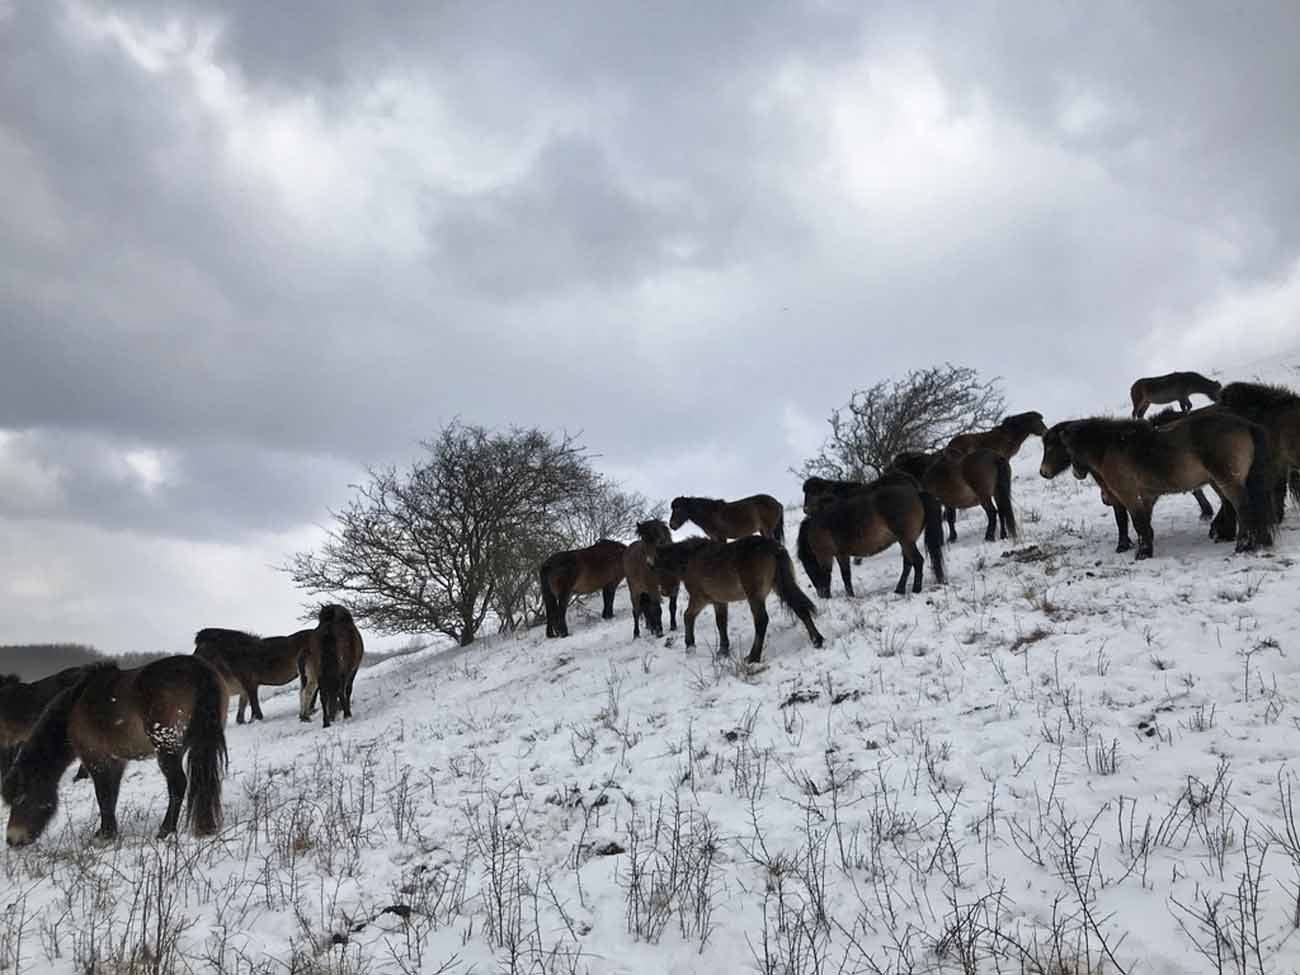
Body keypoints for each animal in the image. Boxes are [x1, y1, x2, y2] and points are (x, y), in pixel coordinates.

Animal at [1, 660, 226, 852]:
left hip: (166, 746)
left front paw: (105, 835)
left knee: (178, 784)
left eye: (20, 798)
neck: (73, 708)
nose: (12, 839)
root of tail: (199, 670)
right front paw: (108, 831)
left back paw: (165, 831)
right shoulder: (116, 762)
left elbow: (104, 797)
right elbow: (112, 796)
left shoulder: (97, 760)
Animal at [639, 530, 821, 670]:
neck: (690, 559)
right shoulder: (719, 601)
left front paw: (690, 647)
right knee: (800, 608)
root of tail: (773, 547)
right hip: (781, 586)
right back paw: (817, 640)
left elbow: (688, 616)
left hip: (754, 596)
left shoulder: (699, 598)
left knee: (761, 621)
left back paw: (753, 657)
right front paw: (723, 651)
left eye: (657, 569)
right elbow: (721, 623)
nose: (665, 592)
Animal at [790, 478, 946, 600]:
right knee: (908, 563)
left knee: (917, 561)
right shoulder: (842, 554)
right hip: (906, 541)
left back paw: (915, 590)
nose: (821, 595)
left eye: (808, 567)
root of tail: (917, 493)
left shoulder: (826, 556)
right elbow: (846, 576)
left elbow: (830, 575)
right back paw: (899, 590)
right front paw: (851, 597)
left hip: (906, 540)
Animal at [1050, 416, 1274, 561]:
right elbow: (1145, 524)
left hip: (1227, 481)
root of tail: (1246, 424)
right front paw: (1146, 548)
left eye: (1068, 449)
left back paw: (1242, 546)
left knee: (1244, 509)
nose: (1077, 473)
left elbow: (1138, 523)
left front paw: (1143, 553)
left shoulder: (1129, 495)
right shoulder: (1147, 496)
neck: (1112, 445)